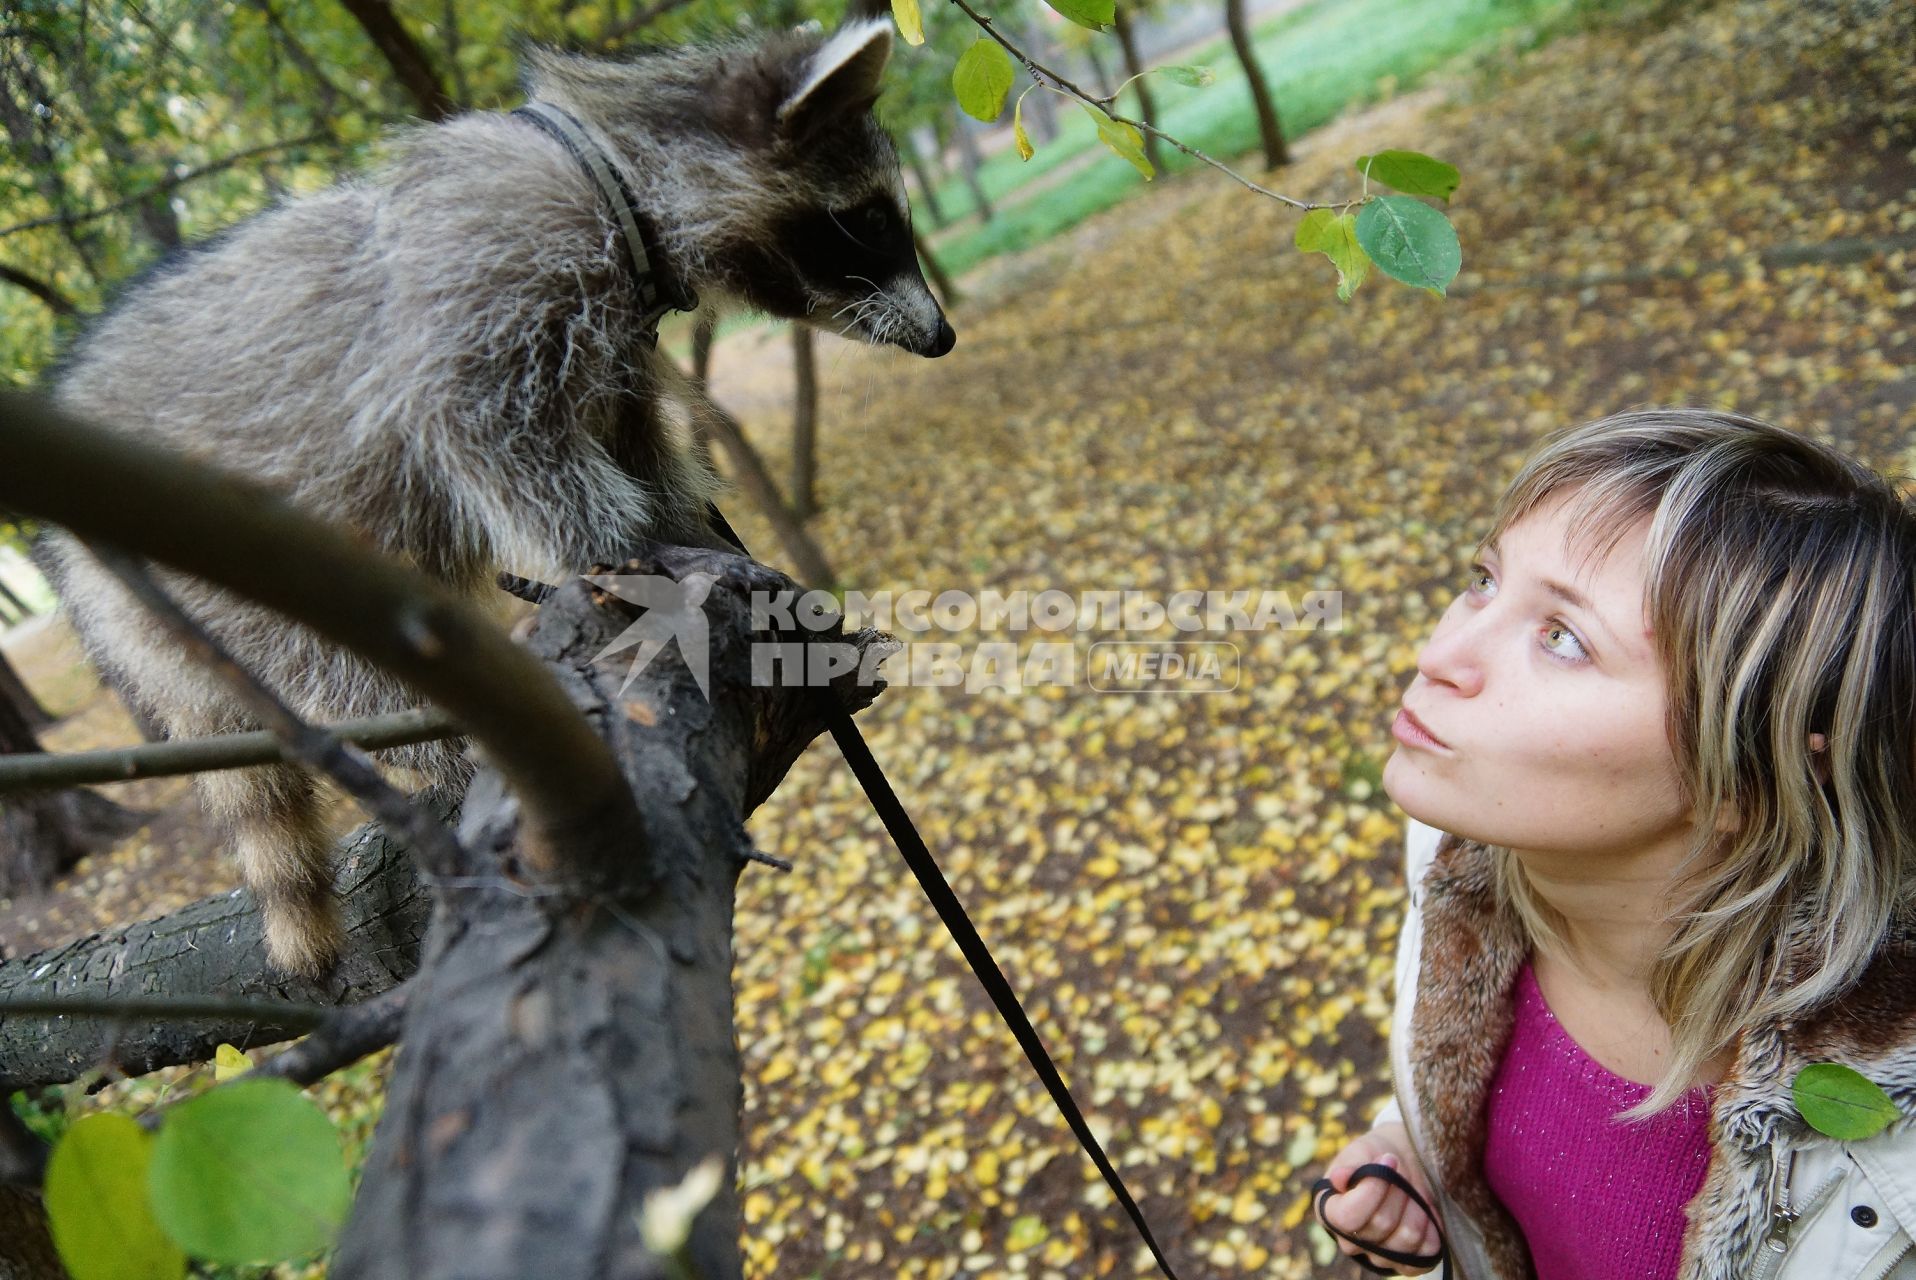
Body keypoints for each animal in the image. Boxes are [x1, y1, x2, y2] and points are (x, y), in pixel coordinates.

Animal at [37, 10, 950, 973]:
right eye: (871, 219)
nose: (943, 336)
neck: (608, 165)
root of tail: (83, 579)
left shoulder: (618, 344)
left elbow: (640, 452)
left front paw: (687, 535)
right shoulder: (490, 280)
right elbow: (496, 441)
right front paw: (636, 552)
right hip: (226, 573)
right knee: (344, 672)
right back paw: (443, 748)